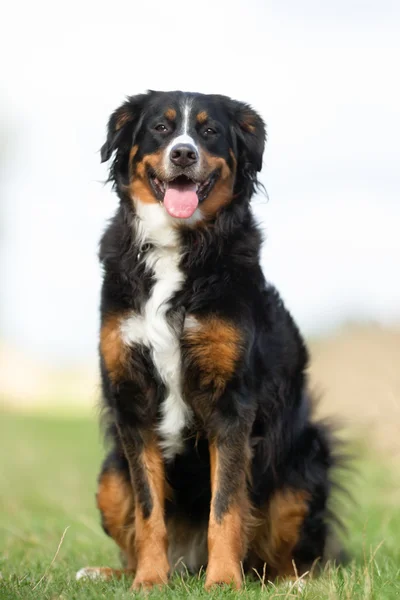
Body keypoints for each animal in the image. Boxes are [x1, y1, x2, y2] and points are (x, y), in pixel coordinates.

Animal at [77, 92, 344, 592]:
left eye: (210, 131)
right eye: (161, 128)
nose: (183, 154)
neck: (175, 247)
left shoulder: (232, 402)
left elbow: (226, 506)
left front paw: (222, 582)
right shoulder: (132, 400)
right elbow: (149, 510)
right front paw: (149, 581)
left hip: (303, 472)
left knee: (284, 560)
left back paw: (292, 582)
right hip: (108, 476)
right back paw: (109, 572)